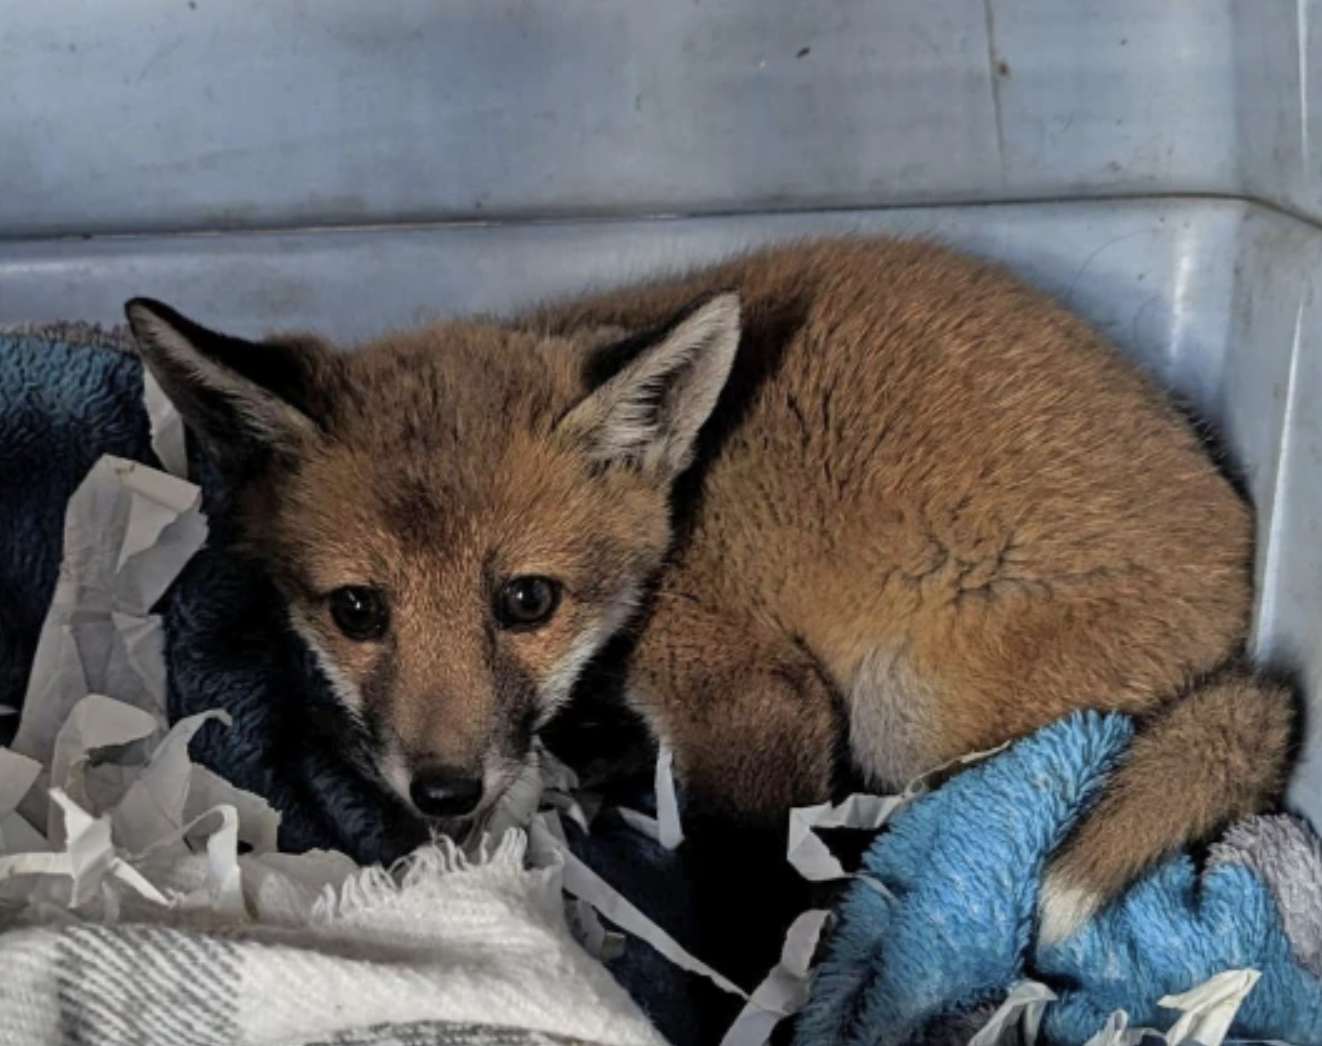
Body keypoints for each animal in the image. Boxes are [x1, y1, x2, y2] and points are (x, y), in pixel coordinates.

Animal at [124, 237, 1295, 946]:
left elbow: (752, 886)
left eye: (526, 600)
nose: (445, 793)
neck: (677, 515)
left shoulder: (754, 700)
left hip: (911, 712)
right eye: (357, 610)